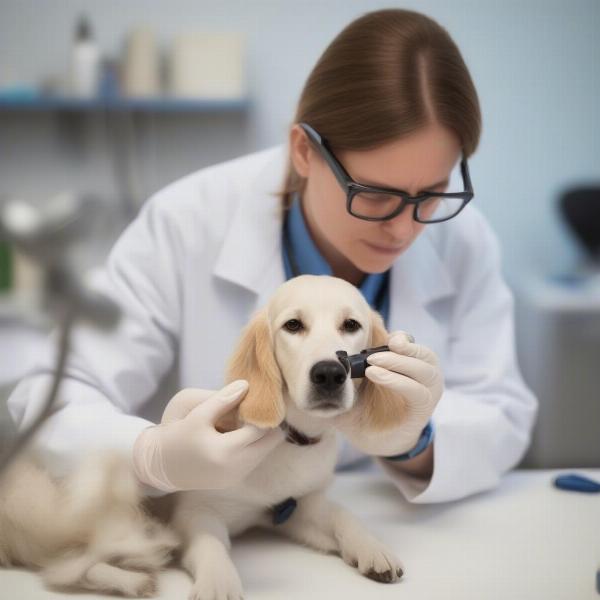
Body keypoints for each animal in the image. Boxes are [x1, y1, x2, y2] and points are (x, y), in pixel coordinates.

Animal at [0, 274, 408, 596]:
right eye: (293, 325)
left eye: (351, 325)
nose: (329, 374)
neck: (290, 442)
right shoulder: (194, 515)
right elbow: (212, 546)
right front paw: (219, 582)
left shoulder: (301, 508)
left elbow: (342, 515)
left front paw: (371, 547)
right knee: (63, 565)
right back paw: (131, 579)